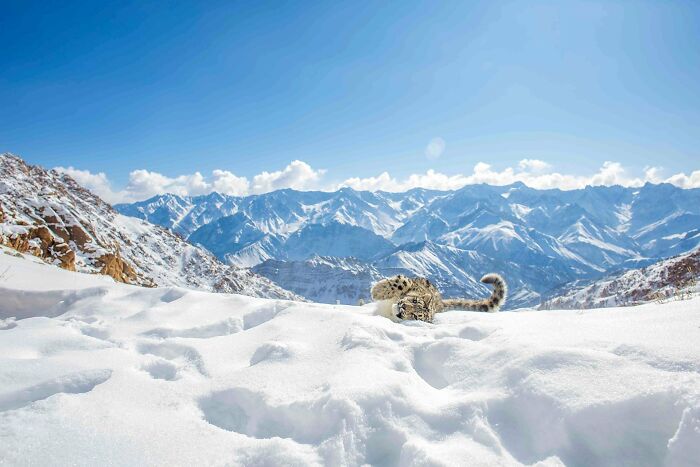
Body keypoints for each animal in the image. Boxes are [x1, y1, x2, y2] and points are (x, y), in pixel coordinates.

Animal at [370, 273, 507, 323]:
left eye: (415, 316)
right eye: (414, 300)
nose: (403, 306)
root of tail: (440, 302)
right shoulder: (412, 284)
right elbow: (403, 281)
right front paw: (377, 290)